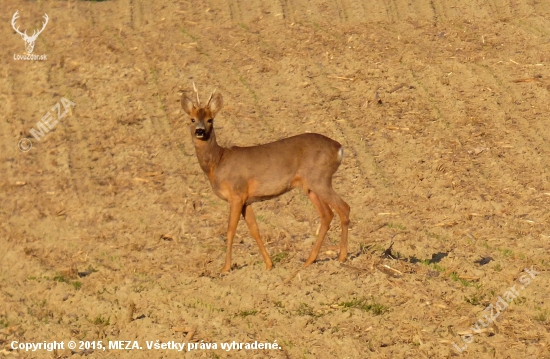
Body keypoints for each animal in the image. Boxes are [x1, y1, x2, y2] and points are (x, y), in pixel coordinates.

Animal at [183, 84, 352, 274]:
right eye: (192, 119)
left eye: (210, 120)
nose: (200, 131)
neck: (218, 162)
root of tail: (339, 148)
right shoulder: (247, 200)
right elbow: (254, 229)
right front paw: (269, 264)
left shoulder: (236, 193)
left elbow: (231, 229)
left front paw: (225, 268)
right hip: (310, 185)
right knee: (327, 214)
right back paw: (309, 261)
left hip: (320, 179)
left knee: (343, 207)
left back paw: (341, 257)